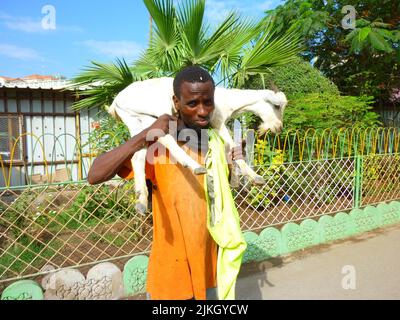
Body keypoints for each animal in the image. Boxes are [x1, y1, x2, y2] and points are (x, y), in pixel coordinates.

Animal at [108, 76, 286, 214]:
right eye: (276, 105)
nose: (279, 127)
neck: (227, 100)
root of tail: (116, 101)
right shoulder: (217, 121)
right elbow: (230, 145)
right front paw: (255, 177)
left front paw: (237, 178)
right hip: (153, 115)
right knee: (165, 139)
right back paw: (195, 166)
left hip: (134, 121)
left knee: (137, 157)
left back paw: (141, 202)